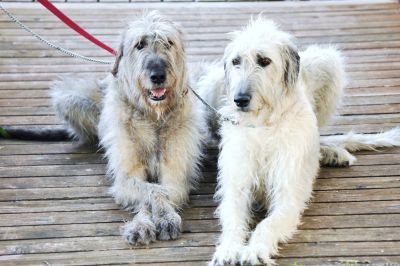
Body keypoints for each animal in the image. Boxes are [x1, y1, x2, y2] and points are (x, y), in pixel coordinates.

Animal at [51, 12, 205, 245]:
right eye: (139, 45)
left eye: (168, 43)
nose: (158, 76)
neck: (152, 115)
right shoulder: (126, 177)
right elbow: (150, 191)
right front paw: (144, 223)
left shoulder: (177, 176)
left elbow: (163, 189)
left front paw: (165, 217)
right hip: (69, 99)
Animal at [198, 17, 400, 264]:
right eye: (236, 61)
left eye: (264, 61)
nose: (240, 99)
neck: (263, 123)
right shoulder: (237, 184)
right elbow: (233, 218)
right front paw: (228, 249)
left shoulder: (288, 194)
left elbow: (268, 224)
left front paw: (255, 249)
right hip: (211, 83)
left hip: (327, 61)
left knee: (317, 136)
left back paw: (331, 152)